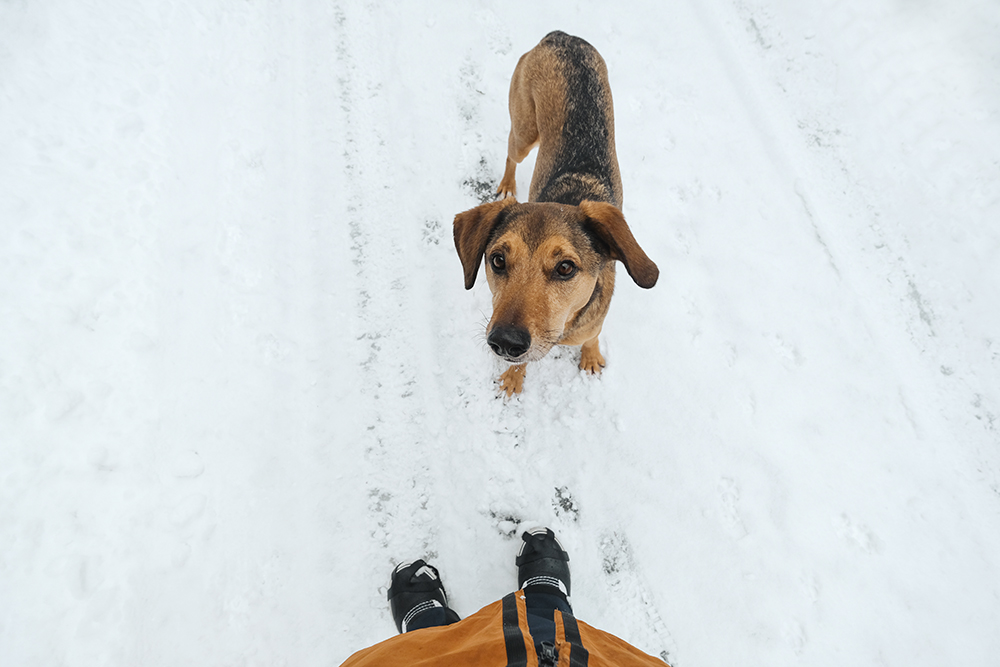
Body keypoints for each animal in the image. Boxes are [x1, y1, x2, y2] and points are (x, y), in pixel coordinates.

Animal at [454, 31, 656, 396]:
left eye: (565, 268)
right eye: (497, 260)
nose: (505, 342)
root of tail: (561, 36)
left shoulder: (593, 323)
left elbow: (592, 336)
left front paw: (590, 357)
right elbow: (520, 366)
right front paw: (513, 378)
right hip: (524, 131)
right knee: (511, 152)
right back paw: (507, 185)